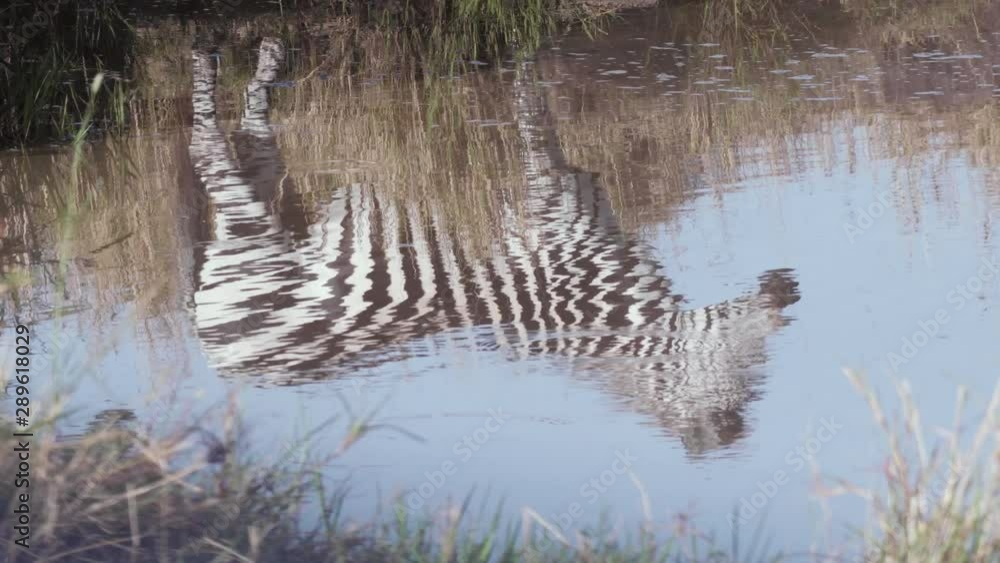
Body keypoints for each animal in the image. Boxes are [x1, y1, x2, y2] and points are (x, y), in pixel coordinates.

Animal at [185, 39, 800, 456]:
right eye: (747, 365)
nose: (789, 291)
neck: (612, 301)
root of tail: (224, 361)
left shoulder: (563, 181)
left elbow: (540, 115)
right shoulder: (546, 201)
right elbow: (529, 115)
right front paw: (526, 61)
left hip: (268, 206)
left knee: (250, 134)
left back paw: (265, 62)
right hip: (250, 239)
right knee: (204, 146)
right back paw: (205, 67)